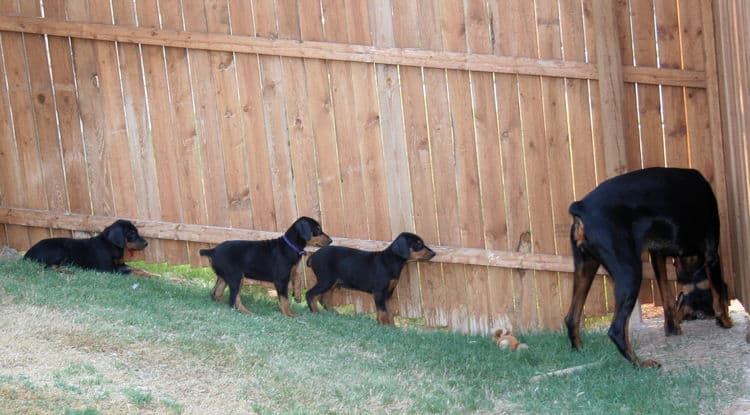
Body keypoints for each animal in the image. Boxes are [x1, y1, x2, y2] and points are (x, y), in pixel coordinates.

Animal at [200, 216, 332, 316]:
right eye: (318, 229)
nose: (331, 241)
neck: (290, 246)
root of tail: (213, 251)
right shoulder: (281, 280)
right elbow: (284, 299)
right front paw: (289, 315)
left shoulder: (291, 272)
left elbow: (297, 277)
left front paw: (297, 297)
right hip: (236, 277)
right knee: (233, 299)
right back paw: (248, 312)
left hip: (225, 276)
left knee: (216, 292)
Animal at [568, 167, 732, 368]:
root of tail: (581, 206)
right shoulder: (711, 254)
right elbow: (718, 294)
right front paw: (725, 321)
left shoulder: (657, 256)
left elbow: (667, 298)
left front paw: (672, 330)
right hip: (629, 271)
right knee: (616, 330)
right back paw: (640, 363)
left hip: (585, 266)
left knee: (571, 317)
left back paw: (580, 353)